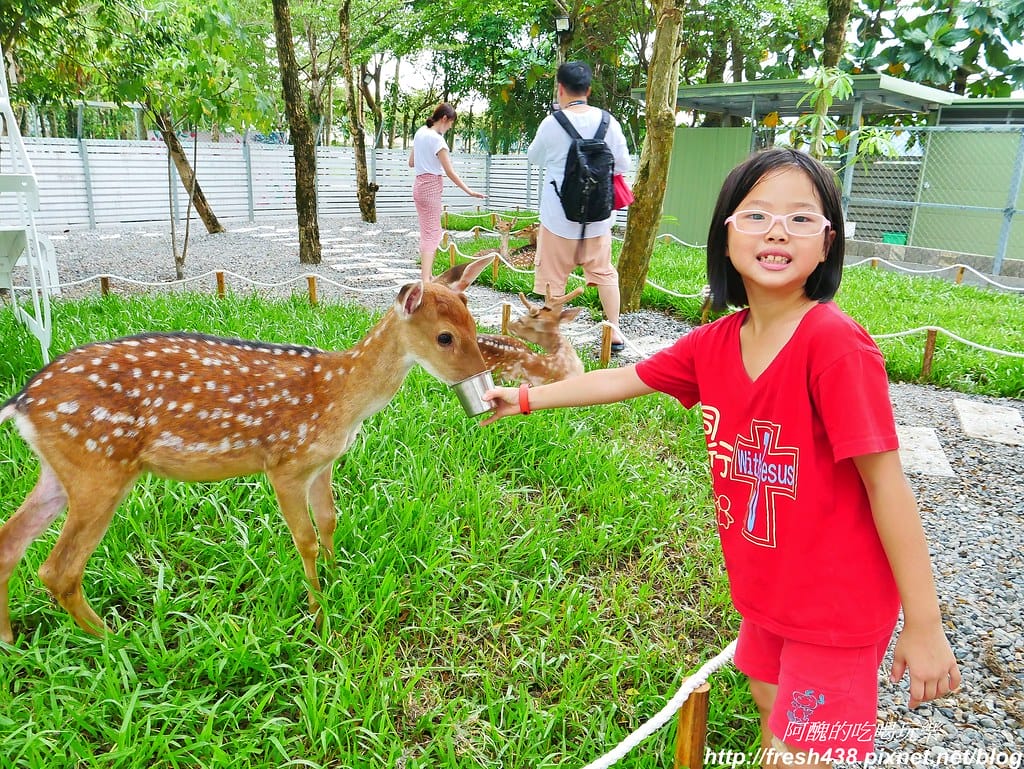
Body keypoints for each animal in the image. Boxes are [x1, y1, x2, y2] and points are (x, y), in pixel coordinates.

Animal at [0, 256, 495, 643]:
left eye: (474, 325)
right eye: (445, 336)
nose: (485, 385)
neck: (340, 396)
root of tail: (21, 402)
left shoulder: (323, 463)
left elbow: (330, 521)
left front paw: (340, 580)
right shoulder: (285, 463)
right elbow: (305, 538)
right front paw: (319, 617)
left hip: (63, 468)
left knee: (11, 541)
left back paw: (10, 639)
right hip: (100, 468)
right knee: (58, 569)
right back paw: (119, 639)